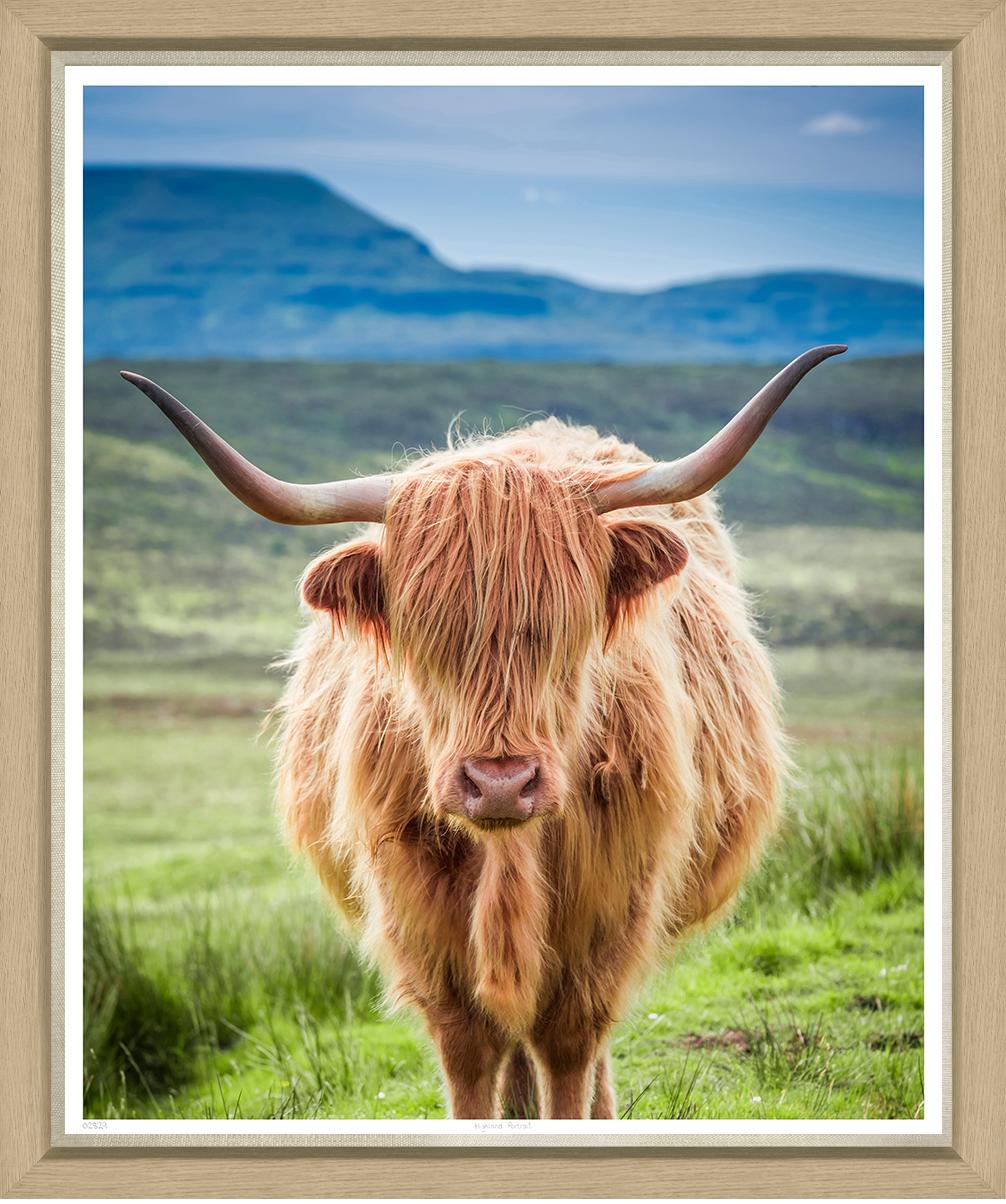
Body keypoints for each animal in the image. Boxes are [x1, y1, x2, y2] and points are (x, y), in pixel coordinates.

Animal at [121, 344, 846, 1120]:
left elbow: (570, 1050)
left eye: (567, 627)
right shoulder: (424, 931)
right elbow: (470, 1059)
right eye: (424, 632)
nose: (500, 783)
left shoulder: (609, 915)